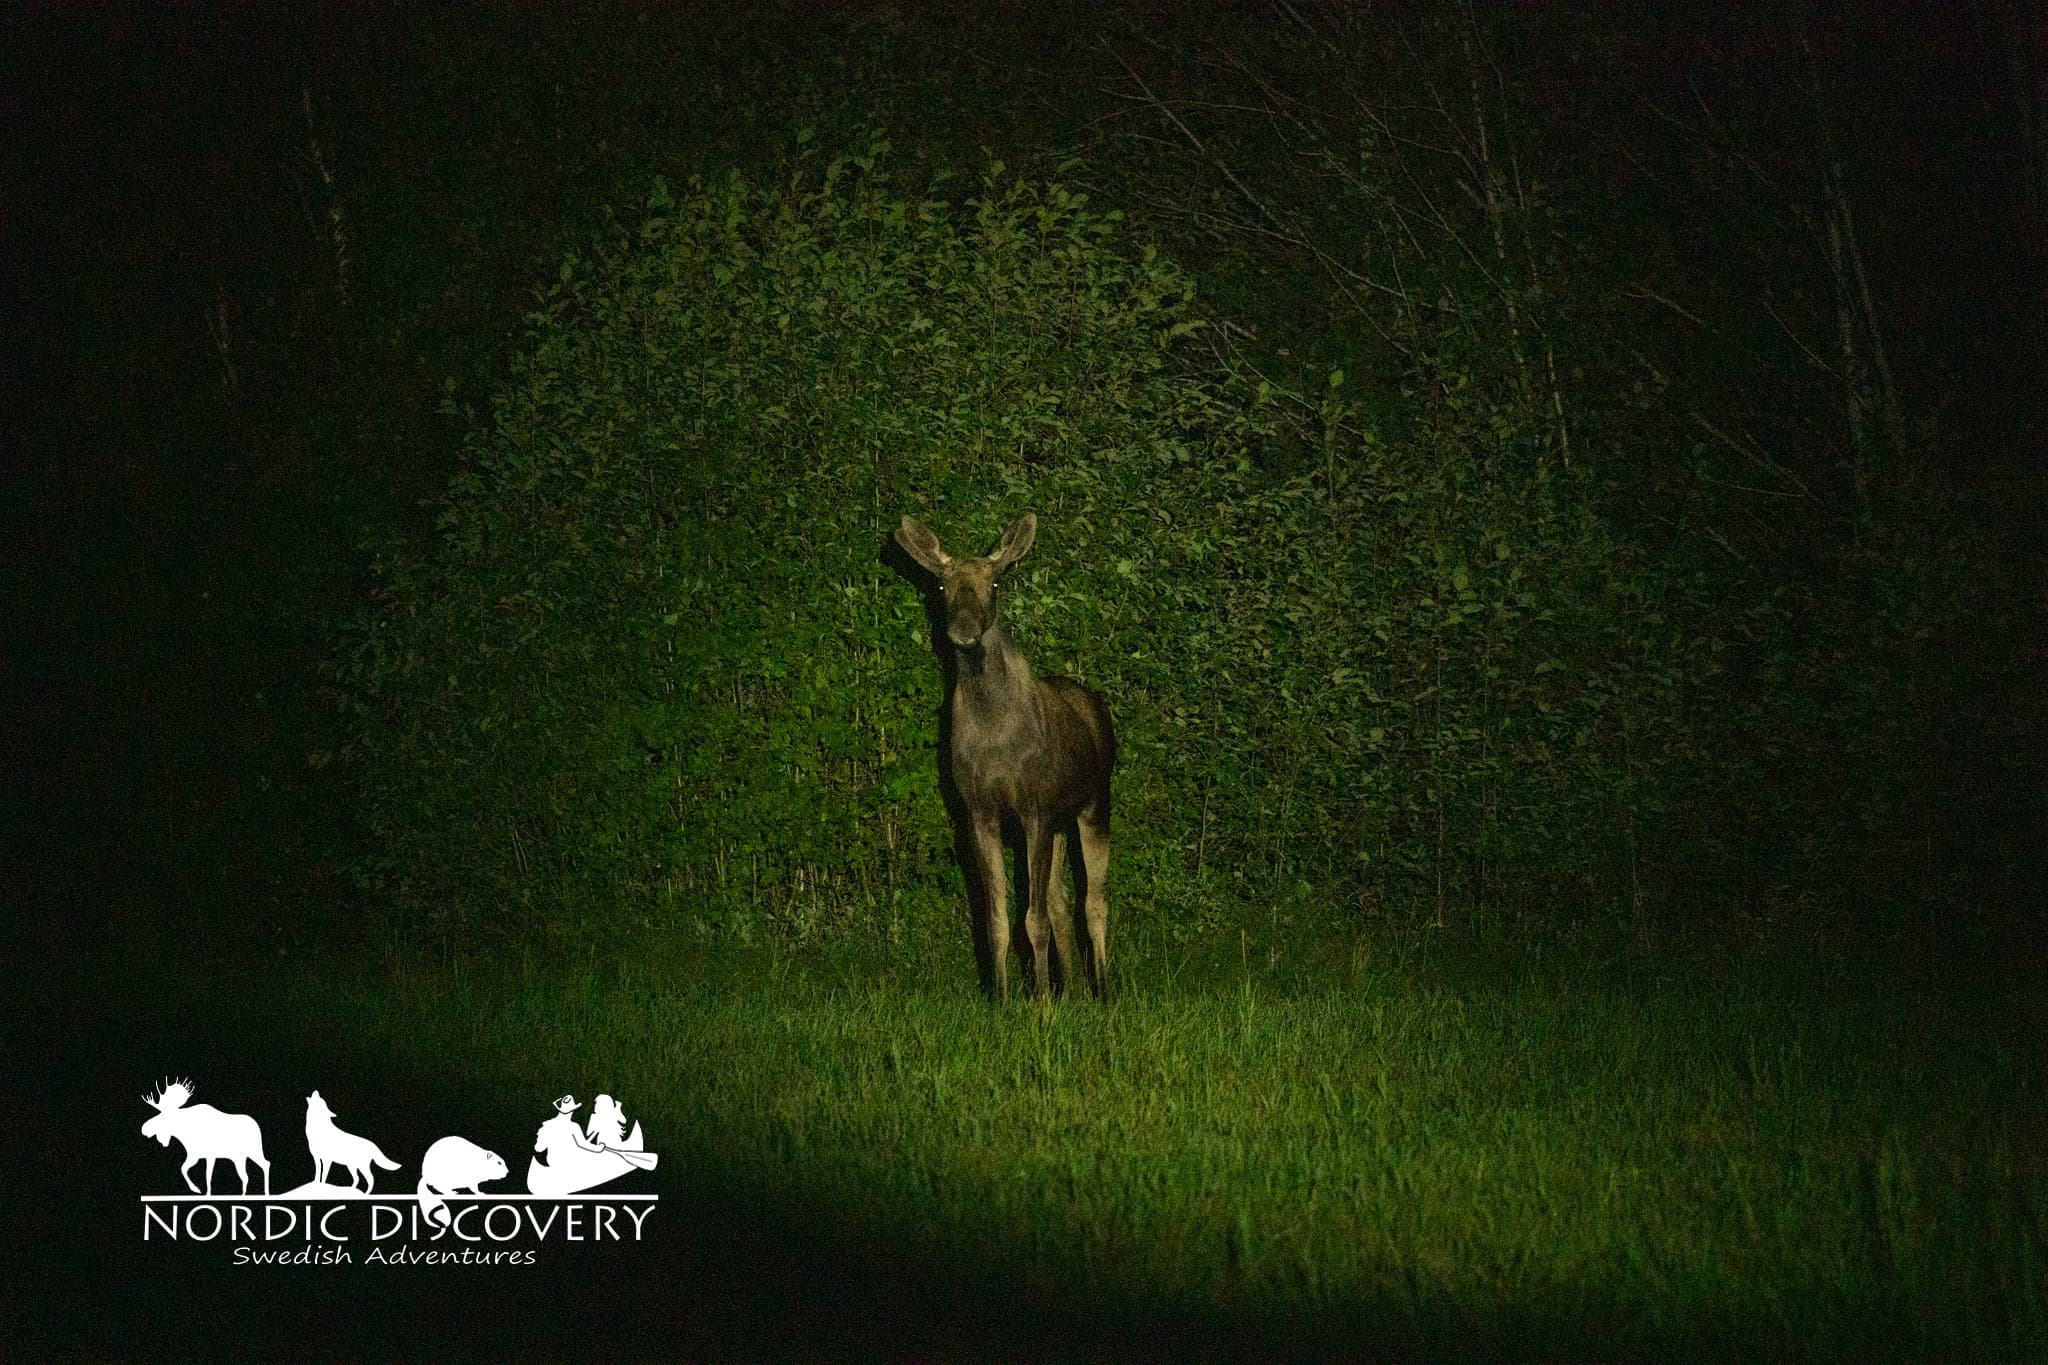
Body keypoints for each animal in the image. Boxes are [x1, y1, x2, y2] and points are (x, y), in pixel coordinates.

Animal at [895, 513, 1115, 1002]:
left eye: (994, 582)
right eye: (942, 584)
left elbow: (1031, 920)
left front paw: (1040, 1004)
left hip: (1095, 804)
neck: (995, 735)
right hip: (1060, 820)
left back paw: (1104, 990)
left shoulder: (1034, 809)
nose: (963, 628)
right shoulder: (980, 812)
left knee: (1094, 902)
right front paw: (1001, 998)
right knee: (1060, 901)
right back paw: (1073, 990)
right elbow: (995, 920)